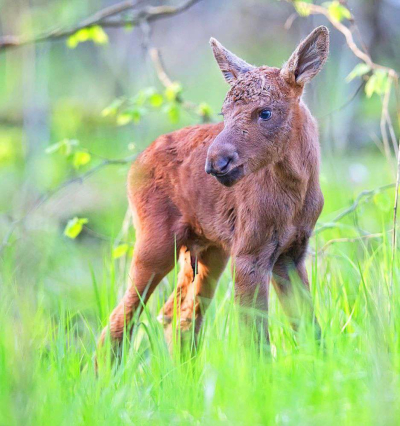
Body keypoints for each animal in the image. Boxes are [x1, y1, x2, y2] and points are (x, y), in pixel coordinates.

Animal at [99, 27, 328, 350]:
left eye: (265, 112)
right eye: (224, 112)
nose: (217, 162)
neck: (296, 193)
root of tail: (134, 166)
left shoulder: (292, 253)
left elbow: (310, 329)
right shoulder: (249, 252)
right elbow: (256, 340)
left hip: (207, 250)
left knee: (178, 315)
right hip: (156, 243)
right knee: (121, 319)